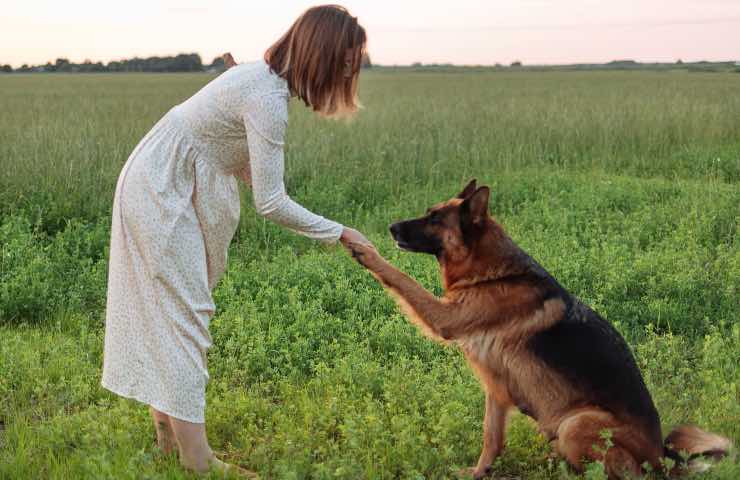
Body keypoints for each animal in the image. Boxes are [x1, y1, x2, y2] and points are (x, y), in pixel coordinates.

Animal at [348, 181, 736, 480]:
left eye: (434, 219)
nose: (391, 228)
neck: (492, 273)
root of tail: (663, 461)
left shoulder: (445, 318)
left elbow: (401, 279)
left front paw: (363, 250)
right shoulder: (496, 387)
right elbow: (491, 438)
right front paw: (479, 472)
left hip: (576, 423)